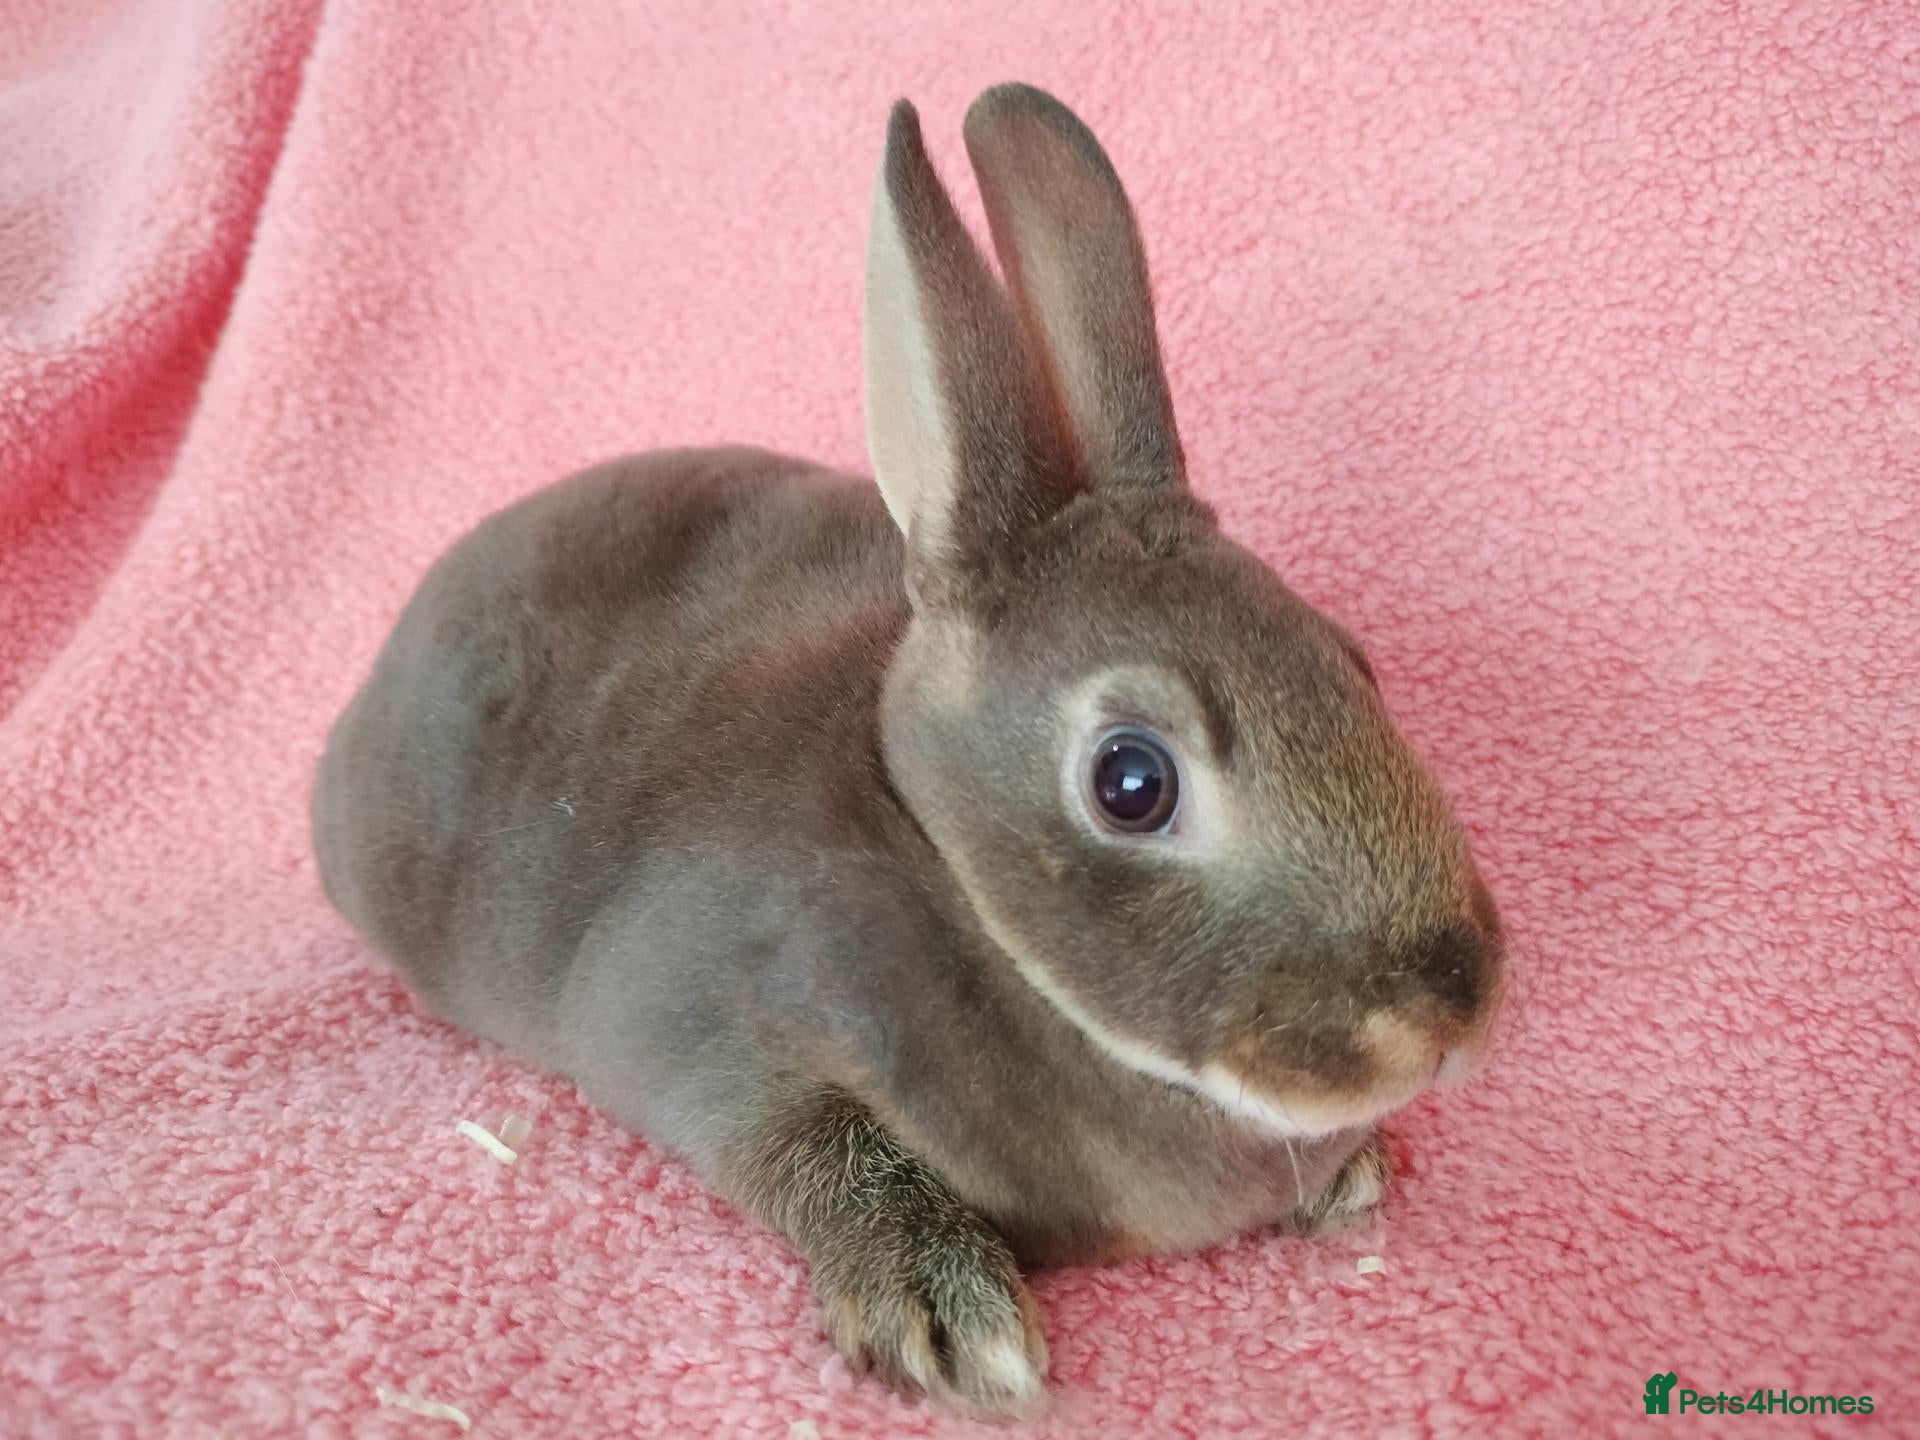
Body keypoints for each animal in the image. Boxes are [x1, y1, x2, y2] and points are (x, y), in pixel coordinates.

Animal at [311, 82, 1505, 1421]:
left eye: (1352, 661)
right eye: (1131, 782)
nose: (1446, 1012)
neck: (944, 862)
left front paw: (1355, 1176)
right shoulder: (708, 1029)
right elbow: (810, 1147)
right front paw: (953, 1318)